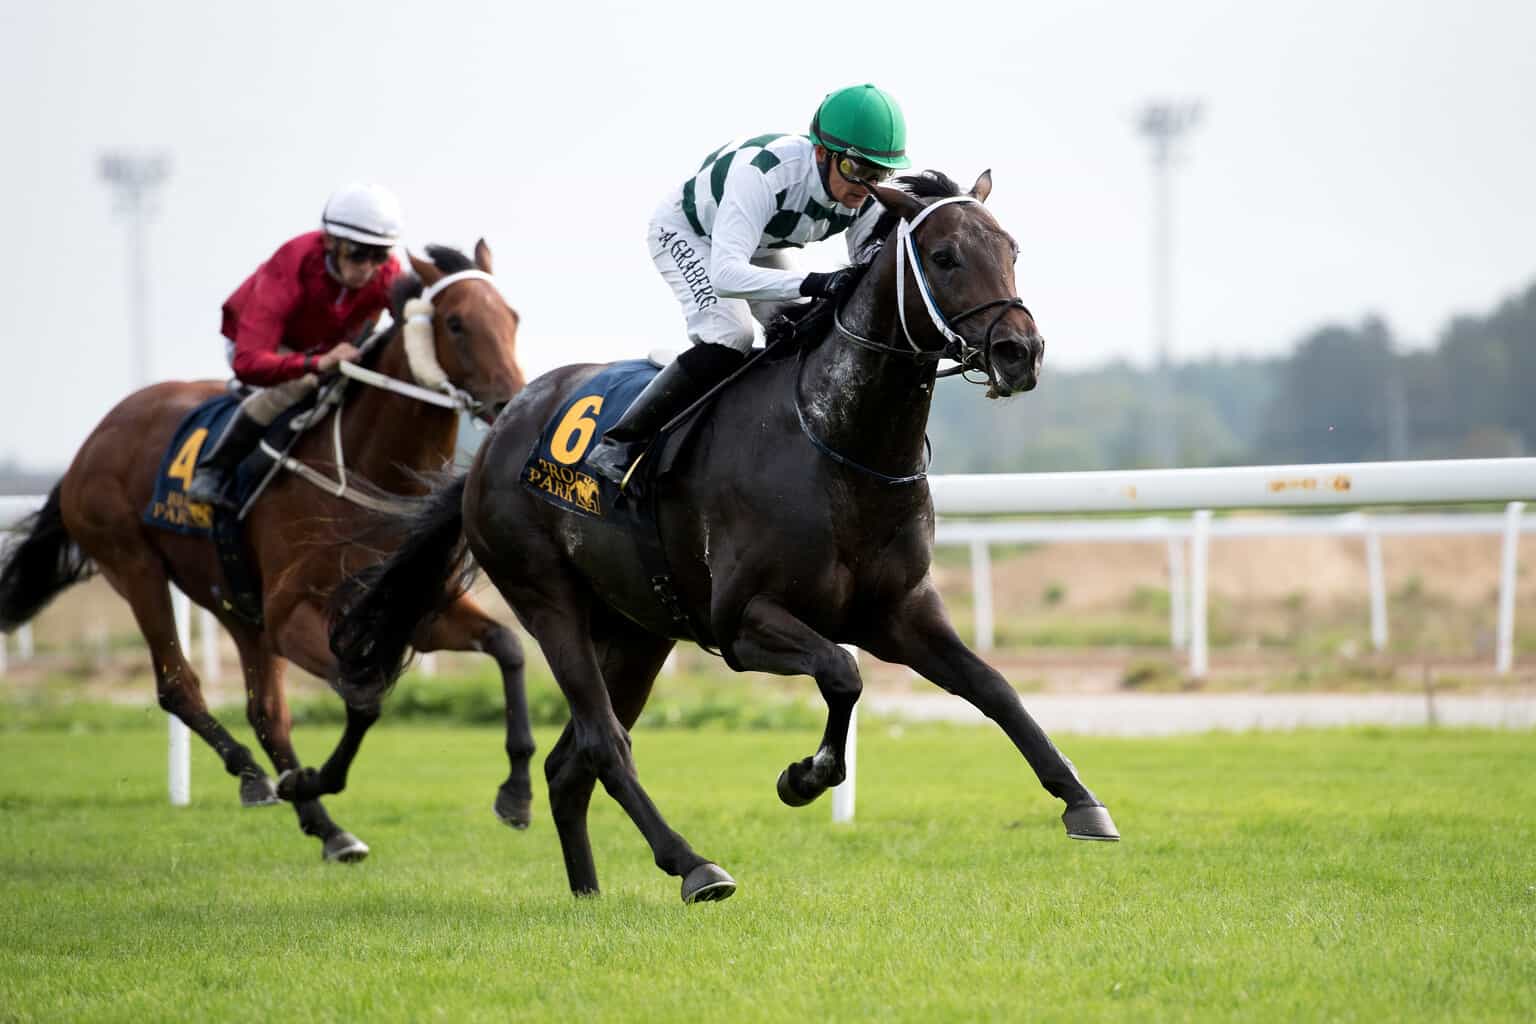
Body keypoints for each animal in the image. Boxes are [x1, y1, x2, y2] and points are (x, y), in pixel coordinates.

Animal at [0, 244, 531, 859]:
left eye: (512, 317)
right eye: (456, 323)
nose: (511, 400)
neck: (369, 474)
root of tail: (92, 440)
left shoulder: (412, 608)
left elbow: (507, 647)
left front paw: (517, 795)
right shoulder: (295, 617)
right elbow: (365, 696)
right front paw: (309, 779)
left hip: (236, 602)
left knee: (265, 712)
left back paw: (326, 828)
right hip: (134, 566)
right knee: (179, 685)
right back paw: (255, 776)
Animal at [330, 171, 1118, 902]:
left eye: (1011, 249)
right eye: (946, 256)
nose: (1020, 351)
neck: (838, 445)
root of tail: (495, 438)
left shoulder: (900, 613)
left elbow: (993, 688)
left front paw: (1082, 801)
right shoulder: (742, 623)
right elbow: (843, 671)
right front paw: (806, 776)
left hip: (639, 632)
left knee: (568, 766)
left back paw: (587, 892)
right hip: (547, 599)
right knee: (605, 744)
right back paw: (693, 865)